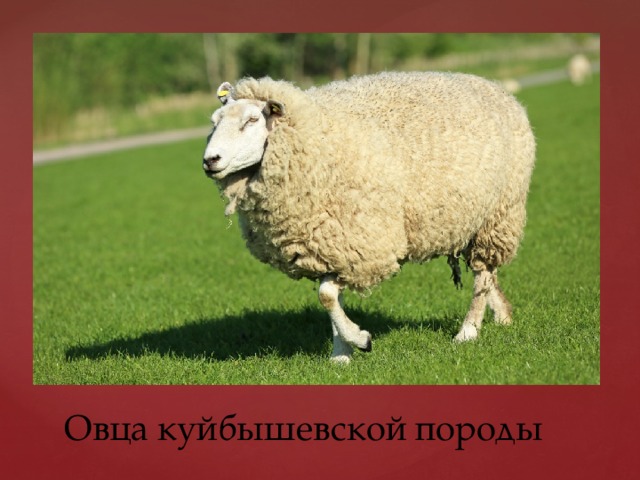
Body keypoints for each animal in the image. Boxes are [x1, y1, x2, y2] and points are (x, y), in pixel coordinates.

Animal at [202, 71, 536, 363]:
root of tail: (496, 88)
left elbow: (326, 296)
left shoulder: (359, 243)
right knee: (487, 274)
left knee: (482, 275)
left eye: (251, 120)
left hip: (499, 215)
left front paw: (359, 340)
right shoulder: (329, 245)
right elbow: (328, 298)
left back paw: (468, 331)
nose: (210, 160)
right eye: (215, 123)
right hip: (473, 220)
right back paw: (502, 315)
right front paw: (342, 353)